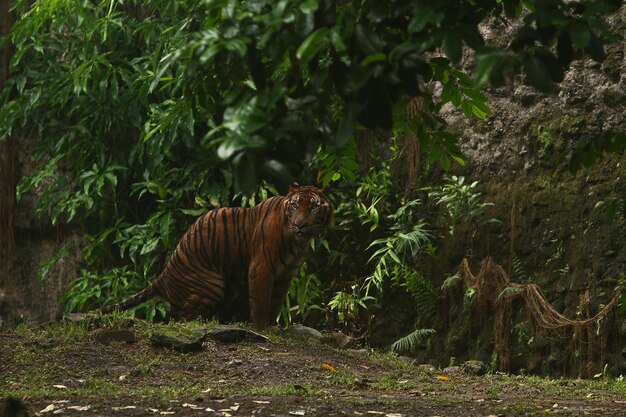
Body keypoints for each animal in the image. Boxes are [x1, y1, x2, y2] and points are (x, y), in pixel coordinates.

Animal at [101, 182, 332, 328]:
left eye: (313, 207)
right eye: (295, 205)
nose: (300, 225)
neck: (297, 242)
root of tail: (163, 275)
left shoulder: (285, 274)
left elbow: (275, 302)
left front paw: (272, 327)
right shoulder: (262, 268)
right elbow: (261, 302)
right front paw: (261, 329)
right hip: (213, 285)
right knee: (182, 317)